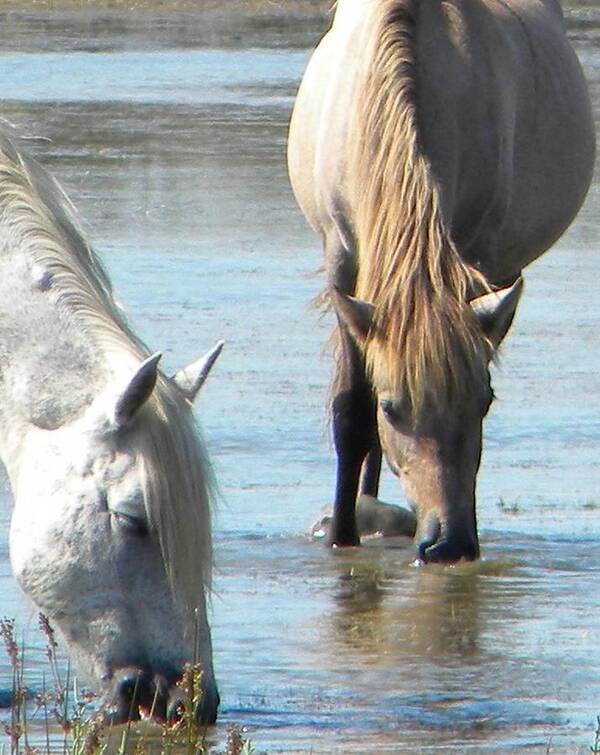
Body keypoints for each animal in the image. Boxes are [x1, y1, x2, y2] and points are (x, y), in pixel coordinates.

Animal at [288, 0, 596, 560]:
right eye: (393, 409)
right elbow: (352, 410)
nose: (447, 543)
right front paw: (343, 536)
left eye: (484, 402)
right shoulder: (342, 257)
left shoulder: (477, 256)